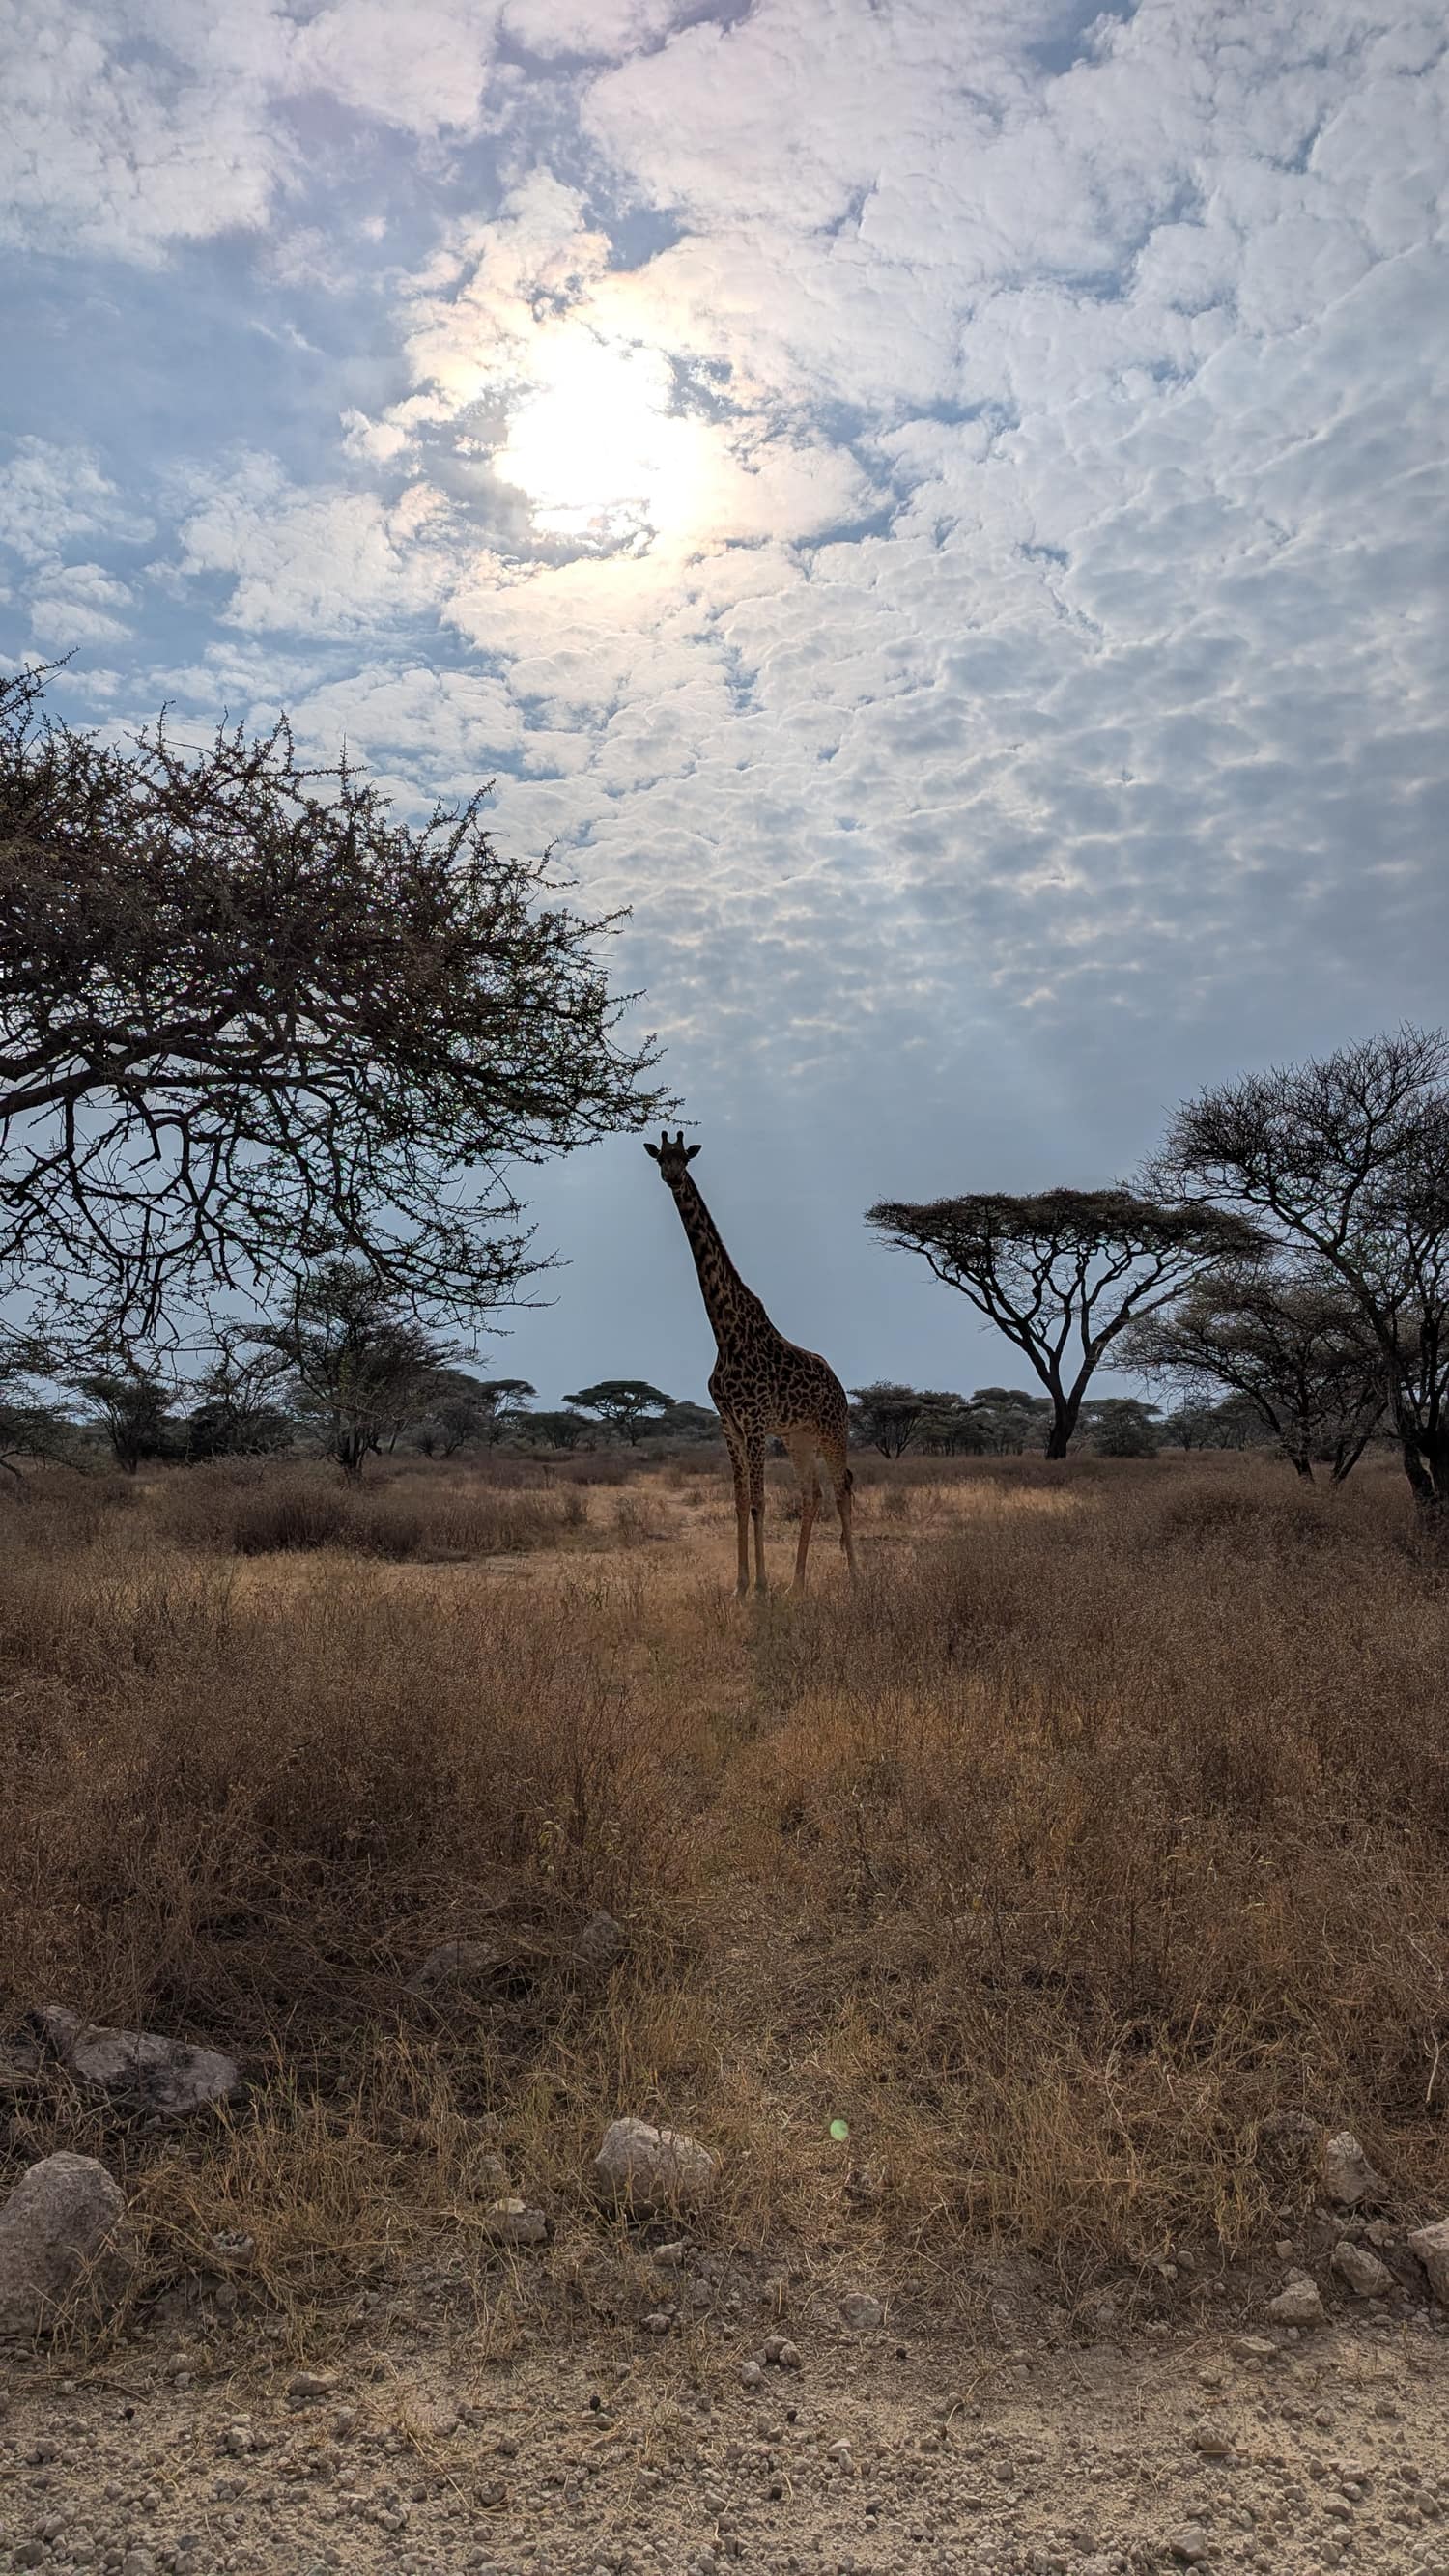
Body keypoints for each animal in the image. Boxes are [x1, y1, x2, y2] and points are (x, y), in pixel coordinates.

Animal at [645, 1130, 857, 1597]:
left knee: (841, 1492)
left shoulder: (755, 1419)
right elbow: (740, 1503)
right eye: (660, 1159)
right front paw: (741, 1586)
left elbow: (760, 1502)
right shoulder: (729, 1422)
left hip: (833, 1430)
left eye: (684, 1157)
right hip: (799, 1436)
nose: (672, 1177)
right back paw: (797, 1585)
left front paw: (761, 1587)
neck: (725, 1332)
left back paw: (858, 1577)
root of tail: (840, 1386)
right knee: (811, 1496)